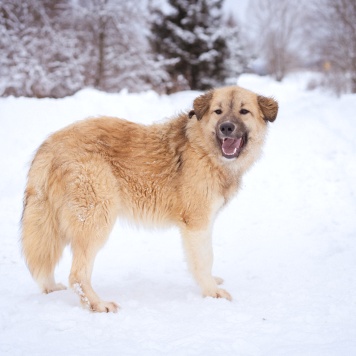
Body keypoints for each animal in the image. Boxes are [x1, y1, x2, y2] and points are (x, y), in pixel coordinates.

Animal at [21, 85, 278, 312]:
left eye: (244, 111)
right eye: (218, 111)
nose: (226, 127)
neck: (203, 150)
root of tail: (50, 143)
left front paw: (211, 283)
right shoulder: (197, 224)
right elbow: (205, 260)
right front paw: (211, 292)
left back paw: (52, 289)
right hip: (96, 221)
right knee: (77, 275)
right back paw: (97, 304)